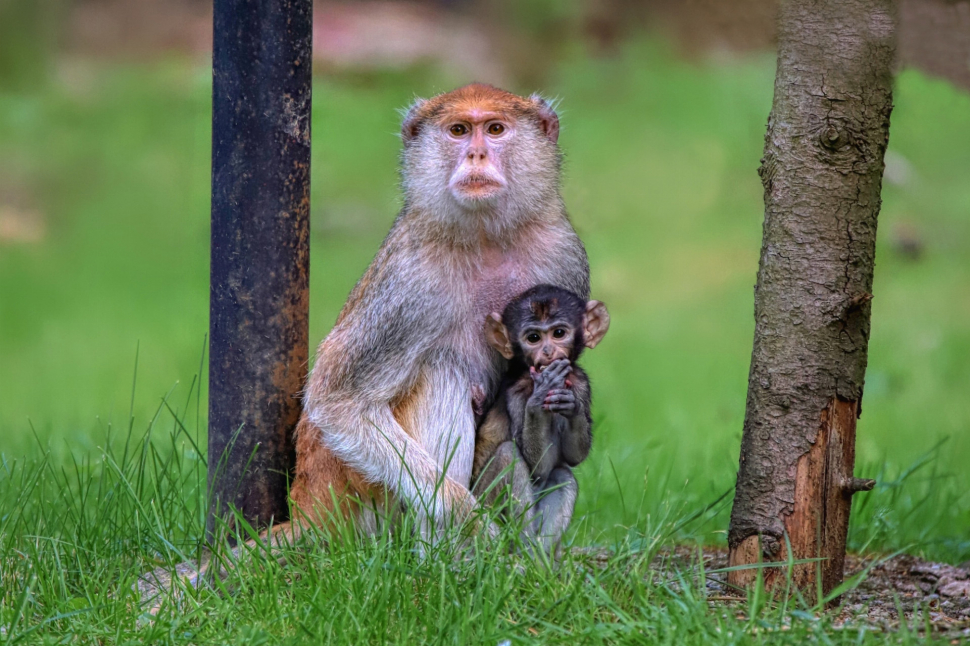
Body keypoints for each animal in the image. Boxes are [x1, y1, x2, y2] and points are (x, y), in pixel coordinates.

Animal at [288, 82, 588, 536]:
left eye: (495, 129)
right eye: (458, 130)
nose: (475, 155)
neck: (484, 236)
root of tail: (312, 510)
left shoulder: (563, 253)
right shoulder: (409, 281)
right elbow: (338, 402)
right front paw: (472, 522)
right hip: (368, 505)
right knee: (441, 374)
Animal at [472, 286, 608, 548]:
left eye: (559, 333)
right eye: (533, 338)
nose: (548, 351)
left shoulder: (580, 382)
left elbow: (571, 459)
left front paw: (572, 407)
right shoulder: (518, 393)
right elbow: (537, 466)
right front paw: (539, 398)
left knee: (562, 475)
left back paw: (541, 554)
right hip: (481, 503)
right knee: (509, 454)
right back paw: (522, 547)